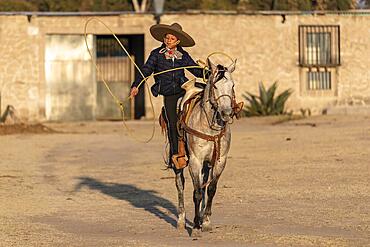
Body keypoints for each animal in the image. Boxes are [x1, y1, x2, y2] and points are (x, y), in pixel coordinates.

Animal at [174, 58, 237, 234]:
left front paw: (206, 221)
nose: (226, 113)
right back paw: (181, 220)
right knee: (180, 183)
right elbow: (196, 193)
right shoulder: (195, 161)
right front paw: (195, 226)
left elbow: (210, 189)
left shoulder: (220, 161)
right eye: (215, 86)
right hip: (179, 159)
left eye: (232, 85)